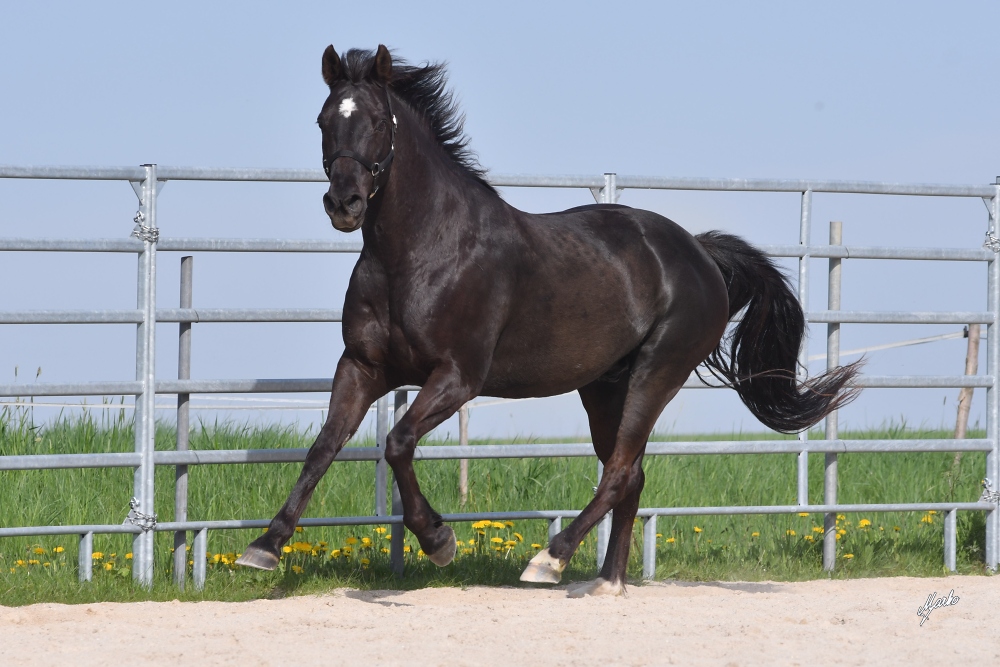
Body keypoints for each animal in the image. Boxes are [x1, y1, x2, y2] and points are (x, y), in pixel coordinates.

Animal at [234, 44, 860, 596]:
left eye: (376, 122)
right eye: (323, 120)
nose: (344, 203)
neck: (419, 252)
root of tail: (700, 254)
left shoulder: (458, 377)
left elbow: (398, 441)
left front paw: (438, 540)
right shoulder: (362, 366)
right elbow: (323, 447)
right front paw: (264, 546)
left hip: (657, 371)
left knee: (619, 471)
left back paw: (550, 560)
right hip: (603, 386)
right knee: (630, 473)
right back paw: (606, 583)